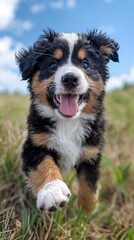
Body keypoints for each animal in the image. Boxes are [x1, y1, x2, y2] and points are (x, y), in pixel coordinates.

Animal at [15, 28, 119, 212]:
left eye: (85, 64)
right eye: (53, 65)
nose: (70, 78)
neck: (68, 123)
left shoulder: (91, 152)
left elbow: (89, 184)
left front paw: (86, 213)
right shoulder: (35, 144)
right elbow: (45, 165)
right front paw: (52, 192)